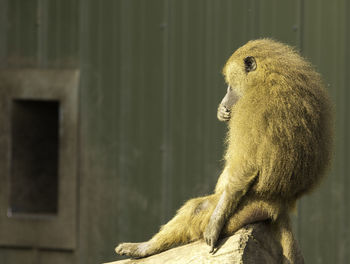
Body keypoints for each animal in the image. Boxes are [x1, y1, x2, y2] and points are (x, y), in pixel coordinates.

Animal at [115, 38, 334, 262]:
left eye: (230, 85)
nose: (224, 99)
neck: (266, 78)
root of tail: (280, 204)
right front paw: (222, 111)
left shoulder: (251, 108)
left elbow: (245, 167)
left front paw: (215, 225)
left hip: (245, 210)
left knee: (198, 208)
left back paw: (145, 248)